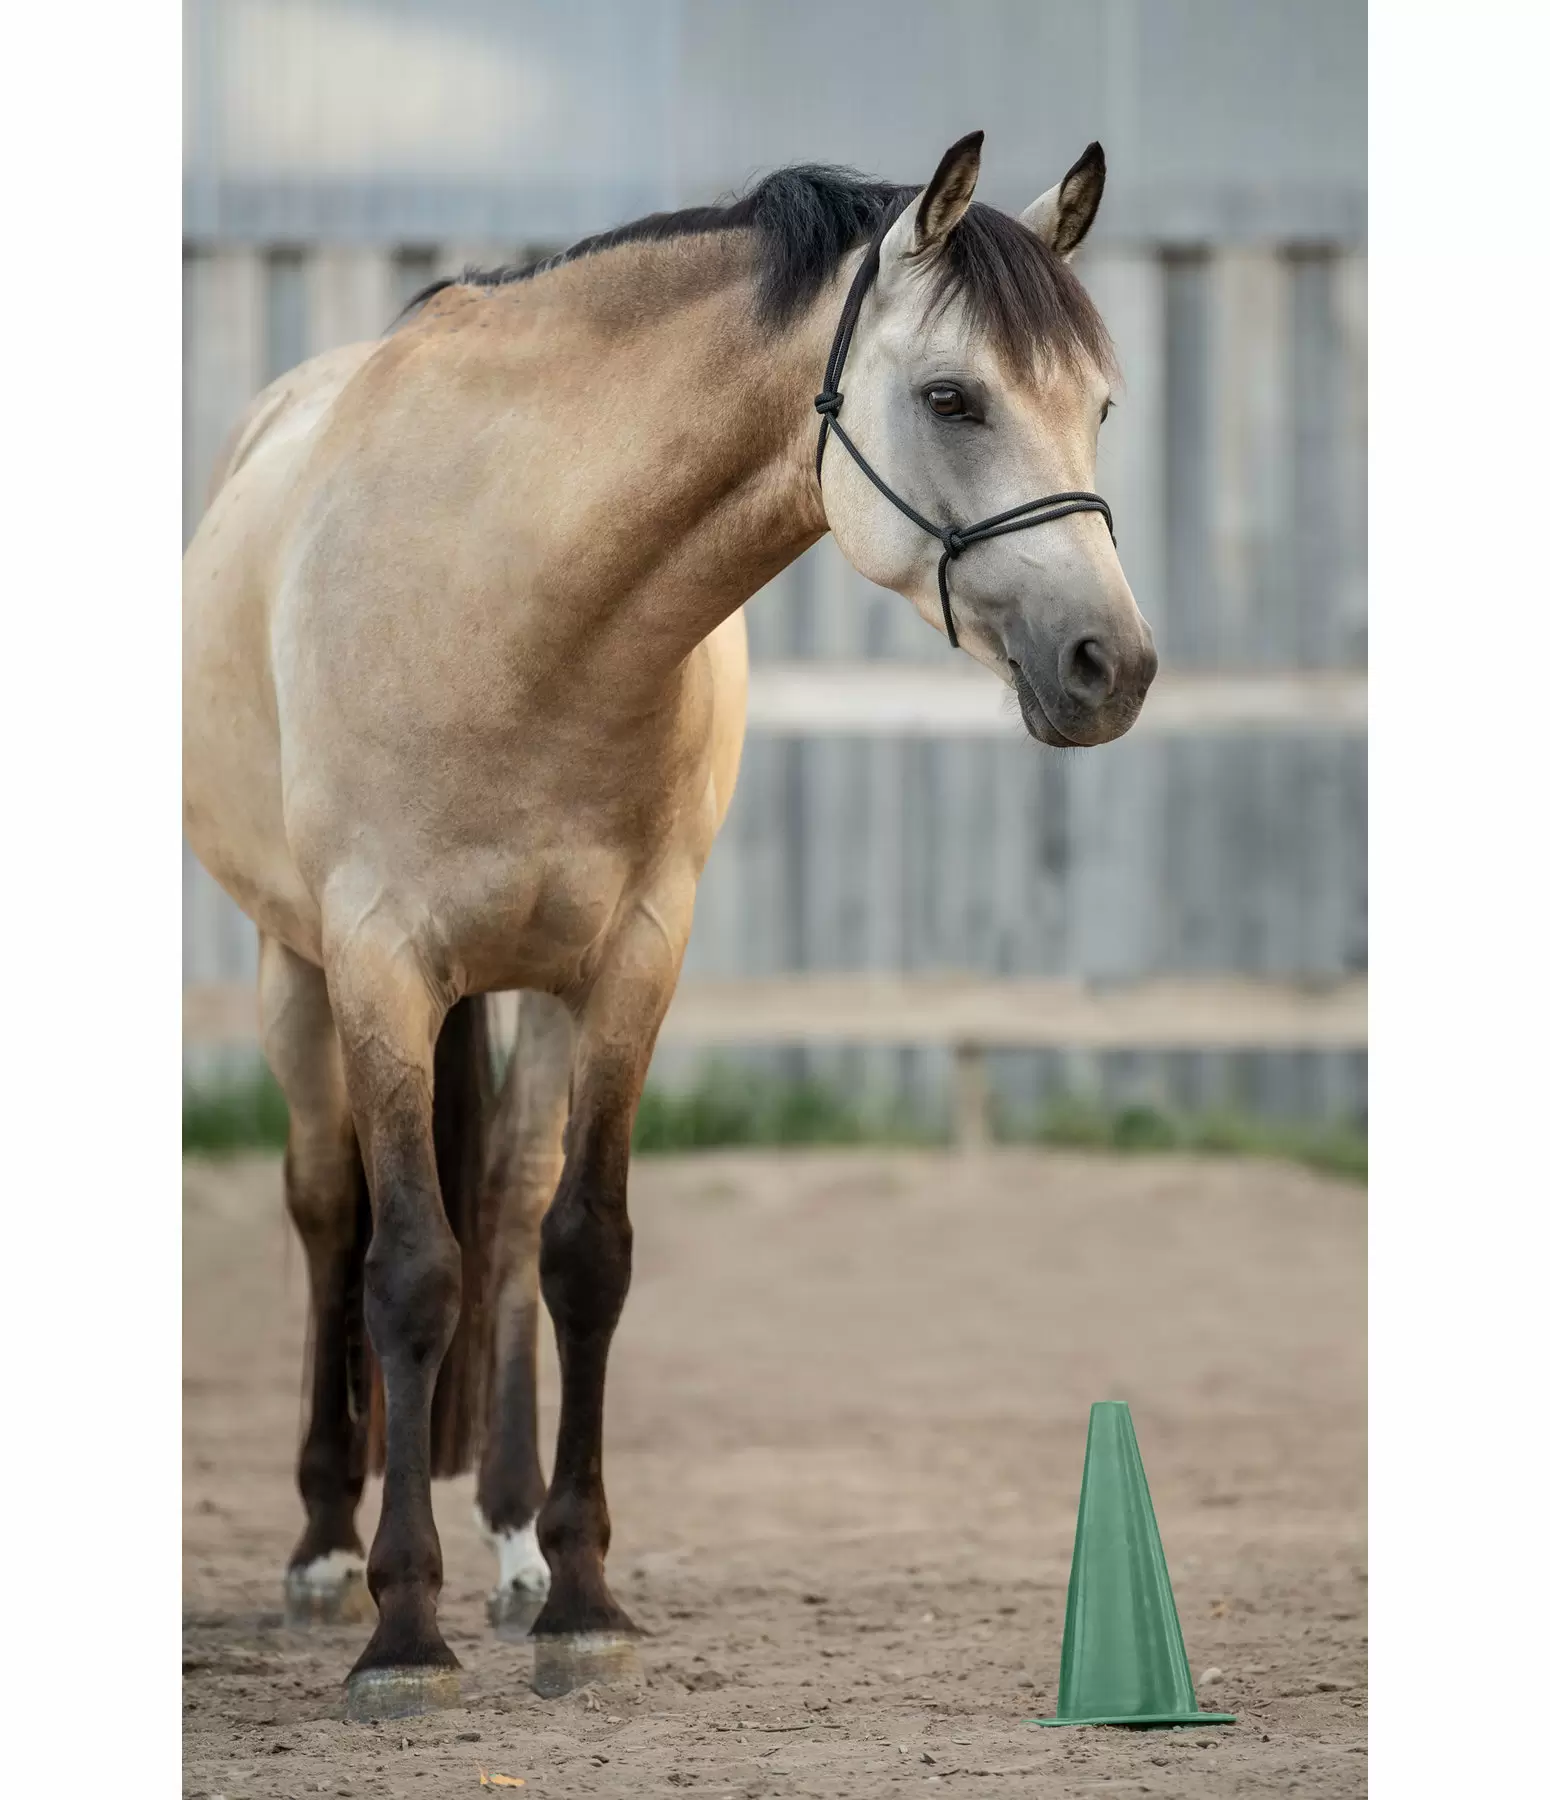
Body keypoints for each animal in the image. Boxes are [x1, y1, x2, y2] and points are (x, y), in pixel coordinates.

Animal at [181, 130, 1152, 1713]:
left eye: (1100, 406)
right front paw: (404, 1630)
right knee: (329, 1213)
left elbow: (583, 1252)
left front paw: (579, 1598)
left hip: (522, 986)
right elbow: (405, 1271)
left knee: (508, 1208)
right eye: (953, 396)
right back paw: (324, 1546)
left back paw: (511, 1543)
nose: (1109, 666)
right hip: (291, 969)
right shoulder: (380, 962)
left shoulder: (634, 958)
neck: (514, 599)